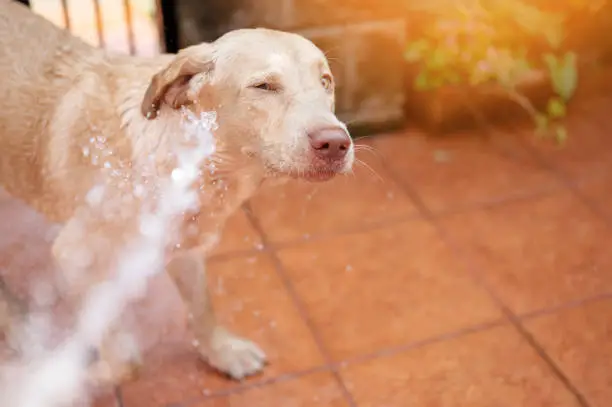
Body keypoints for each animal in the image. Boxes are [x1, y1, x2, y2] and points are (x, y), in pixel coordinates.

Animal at [0, 0, 354, 388]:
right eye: (263, 86)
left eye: (326, 82)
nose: (336, 143)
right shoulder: (76, 257)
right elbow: (122, 354)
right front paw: (87, 377)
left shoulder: (186, 245)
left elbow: (202, 308)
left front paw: (221, 353)